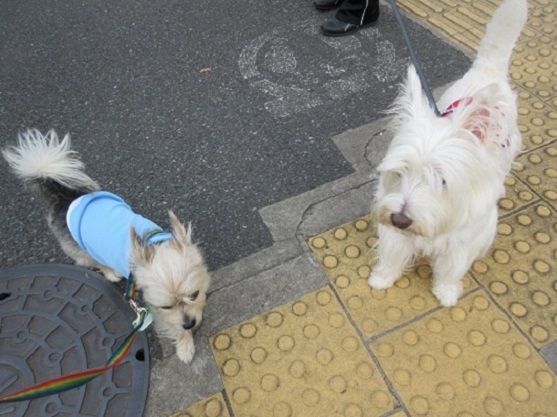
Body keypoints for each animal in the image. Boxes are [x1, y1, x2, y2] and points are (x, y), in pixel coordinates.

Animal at [3, 130, 211, 360]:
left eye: (194, 294)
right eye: (165, 306)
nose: (189, 323)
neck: (152, 242)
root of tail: (65, 198)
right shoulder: (158, 312)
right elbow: (173, 327)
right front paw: (185, 345)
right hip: (82, 250)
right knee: (94, 262)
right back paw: (111, 273)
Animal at [370, 0, 524, 306]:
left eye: (441, 180)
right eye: (400, 172)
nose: (400, 219)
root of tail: (489, 70)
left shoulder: (465, 240)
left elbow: (451, 268)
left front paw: (447, 293)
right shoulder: (394, 227)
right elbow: (393, 252)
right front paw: (382, 278)